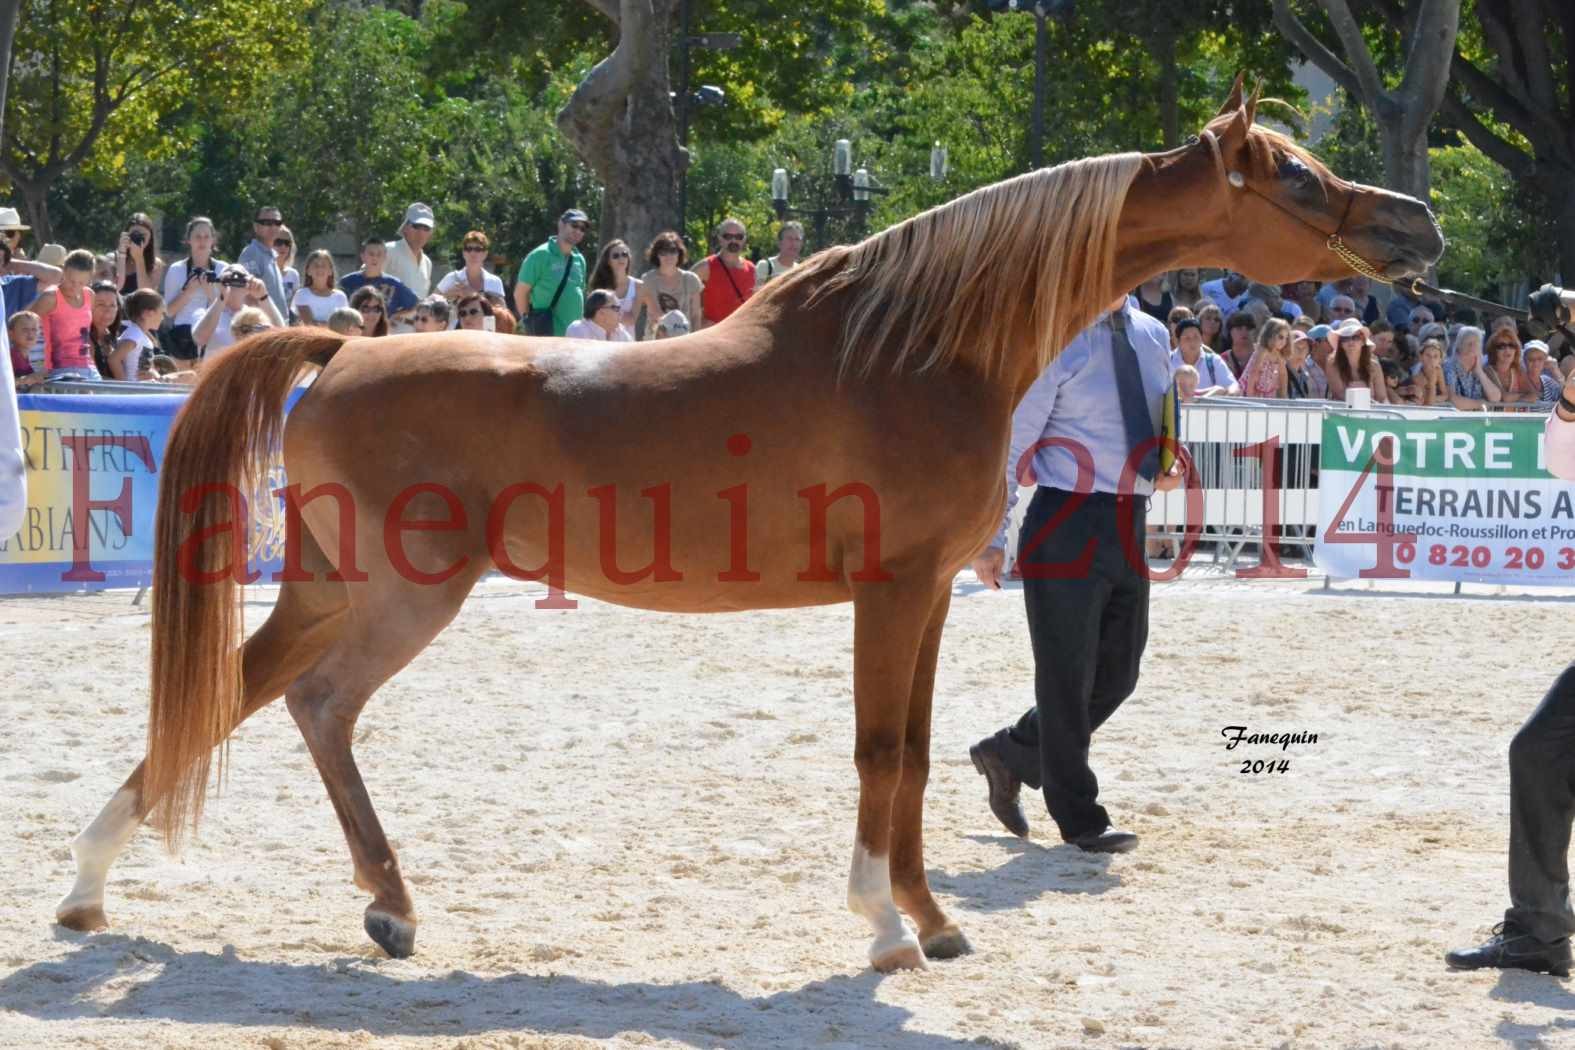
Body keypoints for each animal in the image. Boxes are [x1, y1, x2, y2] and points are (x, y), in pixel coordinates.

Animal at [55, 80, 1442, 969]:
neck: (915, 347)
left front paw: (924, 917)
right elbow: (886, 755)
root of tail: (341, 349)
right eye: (1297, 175)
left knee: (289, 702)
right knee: (268, 697)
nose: (1415, 222)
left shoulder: (927, 598)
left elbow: (916, 753)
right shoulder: (893, 591)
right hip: (394, 589)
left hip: (361, 591)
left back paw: (363, 908)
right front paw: (891, 928)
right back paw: (97, 886)